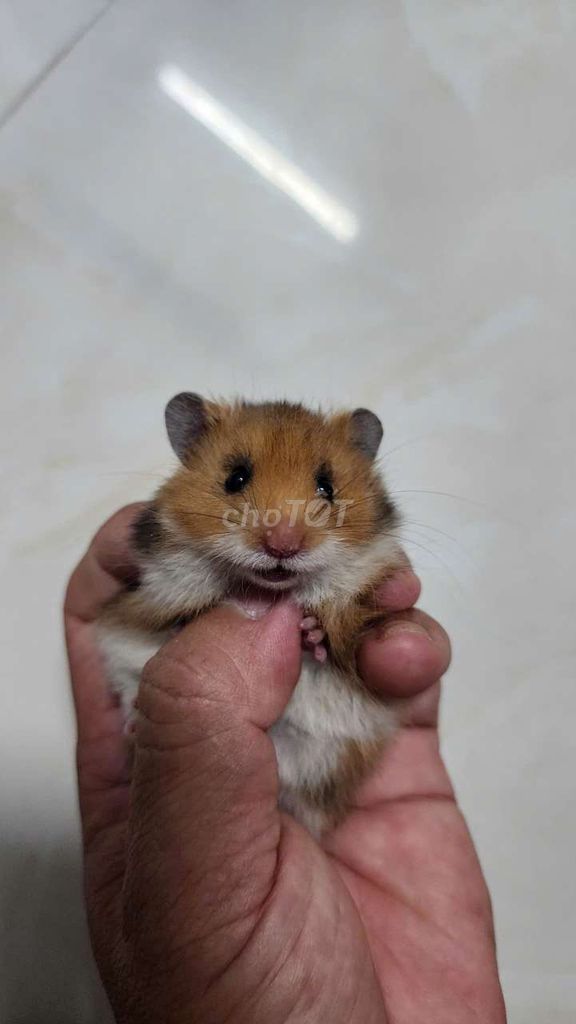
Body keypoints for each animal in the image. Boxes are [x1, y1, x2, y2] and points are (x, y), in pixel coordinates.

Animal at [97, 394, 404, 836]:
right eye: (235, 478)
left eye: (328, 487)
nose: (283, 546)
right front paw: (191, 623)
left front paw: (310, 633)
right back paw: (137, 728)